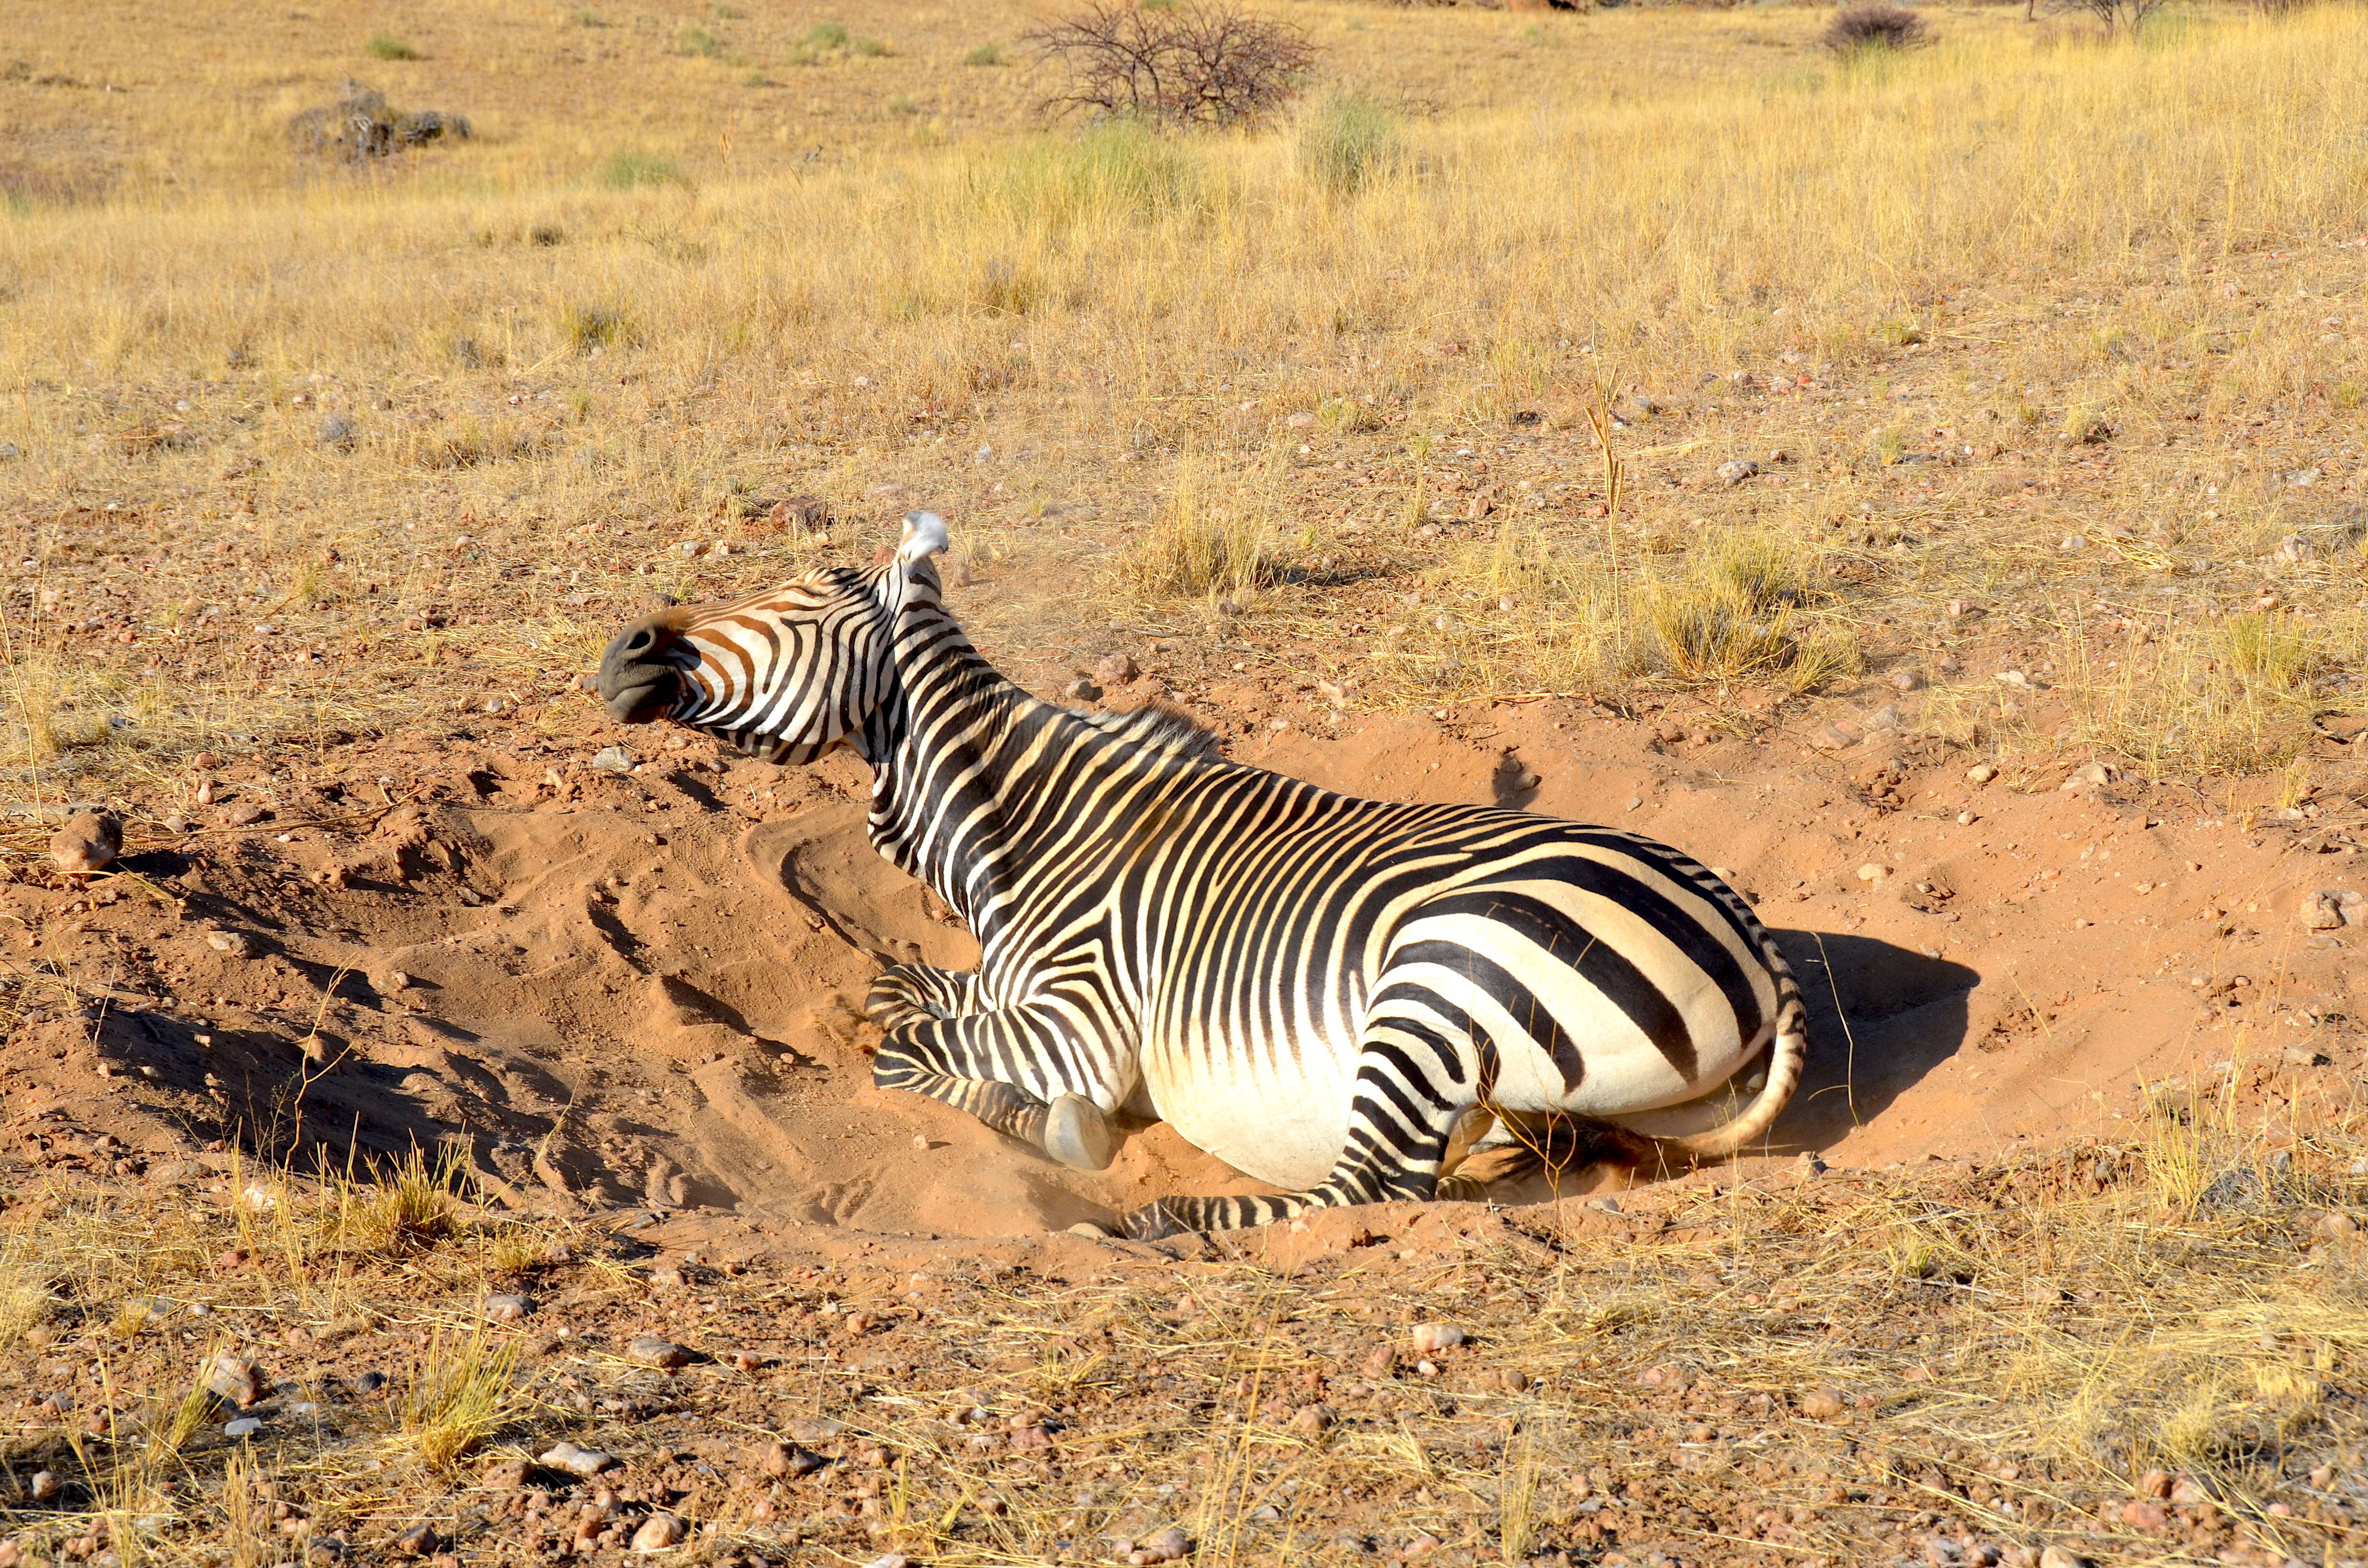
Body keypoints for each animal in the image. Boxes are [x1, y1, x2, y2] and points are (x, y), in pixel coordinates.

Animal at [601, 514, 1800, 1241]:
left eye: (798, 603)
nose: (623, 649)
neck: (1024, 835)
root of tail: (1749, 937)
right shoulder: (1006, 986)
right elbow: (906, 993)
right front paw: (882, 996)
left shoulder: (1077, 1026)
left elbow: (912, 1055)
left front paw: (1056, 1128)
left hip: (1430, 989)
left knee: (1365, 1190)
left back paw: (1167, 1224)